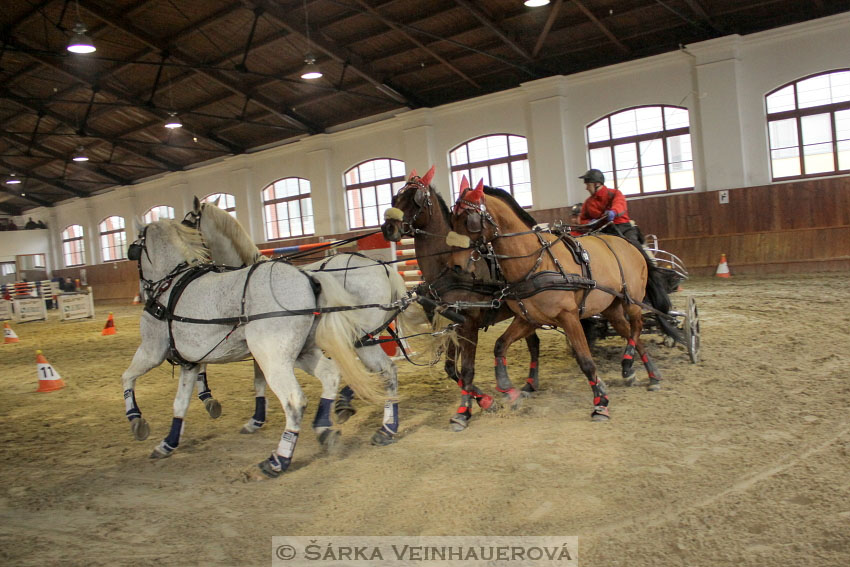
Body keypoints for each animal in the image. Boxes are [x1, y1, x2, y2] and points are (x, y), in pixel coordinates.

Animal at [120, 220, 384, 478]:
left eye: (135, 249)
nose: (142, 291)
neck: (171, 283)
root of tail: (309, 279)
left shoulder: (152, 350)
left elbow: (127, 377)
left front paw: (136, 421)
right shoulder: (190, 362)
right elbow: (180, 403)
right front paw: (168, 443)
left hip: (274, 360)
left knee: (294, 400)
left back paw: (279, 460)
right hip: (301, 353)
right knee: (331, 375)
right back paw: (324, 430)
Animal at [183, 200, 414, 448]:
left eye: (186, 223)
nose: (189, 270)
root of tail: (382, 266)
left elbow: (256, 379)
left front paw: (249, 417)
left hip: (359, 337)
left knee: (381, 369)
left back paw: (375, 420)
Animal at [380, 168, 540, 430]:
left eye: (416, 199)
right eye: (396, 197)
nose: (388, 228)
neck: (448, 268)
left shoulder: (469, 325)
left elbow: (466, 370)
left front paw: (464, 412)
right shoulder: (451, 325)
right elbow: (451, 369)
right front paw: (485, 400)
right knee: (534, 343)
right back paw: (529, 384)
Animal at [448, 181, 664, 422]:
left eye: (470, 221)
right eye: (452, 220)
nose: (456, 266)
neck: (536, 262)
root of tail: (630, 245)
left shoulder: (569, 317)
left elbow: (585, 360)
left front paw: (601, 402)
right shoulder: (528, 318)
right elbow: (500, 345)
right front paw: (506, 387)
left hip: (632, 300)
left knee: (637, 327)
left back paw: (628, 363)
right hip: (611, 308)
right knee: (630, 332)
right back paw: (646, 374)